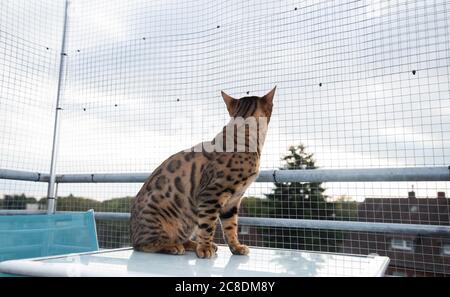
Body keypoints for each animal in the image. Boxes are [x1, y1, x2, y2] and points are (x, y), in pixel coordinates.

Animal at [130, 86, 276, 258]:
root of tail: (132, 235)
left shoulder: (233, 201)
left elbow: (231, 227)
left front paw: (236, 247)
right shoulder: (211, 194)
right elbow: (208, 225)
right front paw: (205, 248)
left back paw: (190, 244)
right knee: (143, 244)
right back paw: (172, 246)